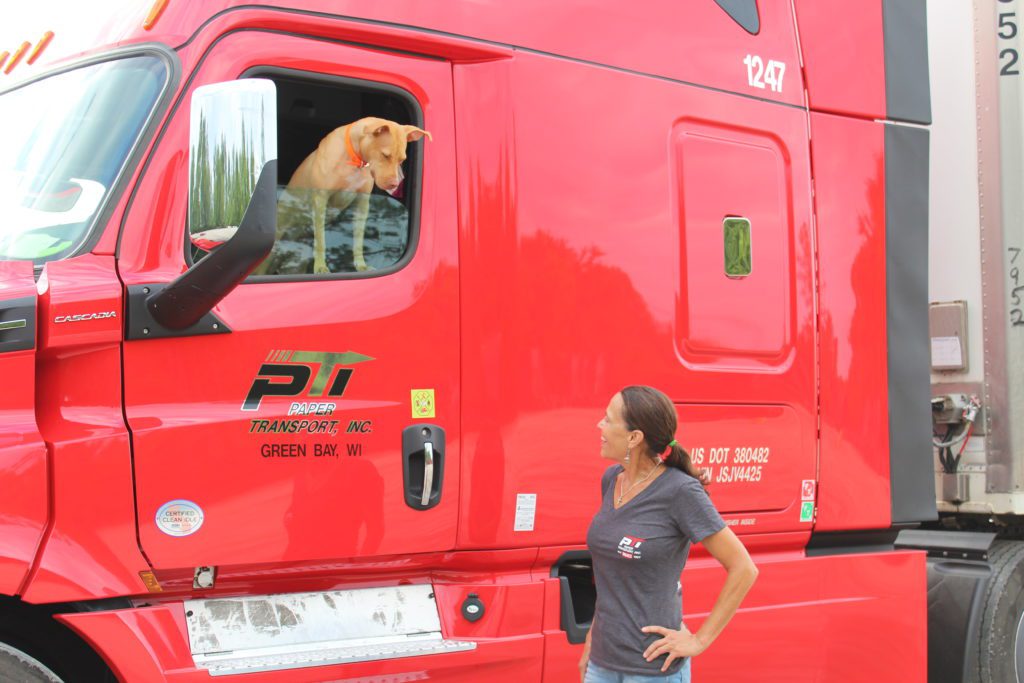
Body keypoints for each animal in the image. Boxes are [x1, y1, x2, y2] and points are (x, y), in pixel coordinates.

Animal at [284, 116, 432, 272]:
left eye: (402, 160)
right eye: (385, 155)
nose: (395, 184)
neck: (354, 158)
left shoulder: (362, 204)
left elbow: (359, 239)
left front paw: (361, 265)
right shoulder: (320, 200)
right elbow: (320, 239)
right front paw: (320, 266)